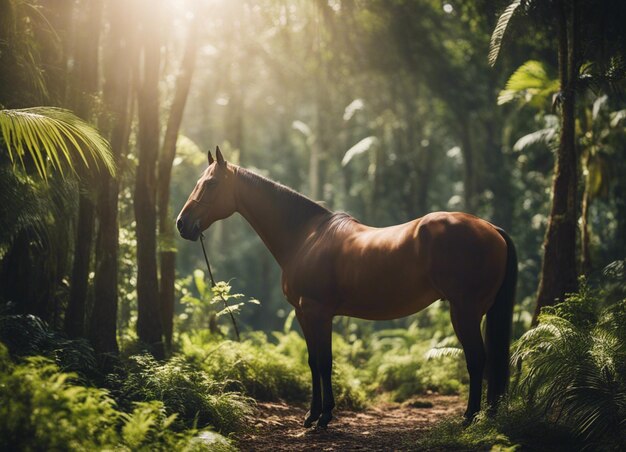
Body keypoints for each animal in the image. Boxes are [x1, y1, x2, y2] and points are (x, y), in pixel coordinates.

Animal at [177, 147, 516, 428]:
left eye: (210, 184)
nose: (182, 224)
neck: (306, 237)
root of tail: (492, 228)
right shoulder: (303, 314)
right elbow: (313, 362)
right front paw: (312, 415)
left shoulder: (318, 312)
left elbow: (325, 363)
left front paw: (324, 418)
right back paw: (487, 416)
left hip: (464, 311)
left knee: (477, 359)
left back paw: (470, 417)